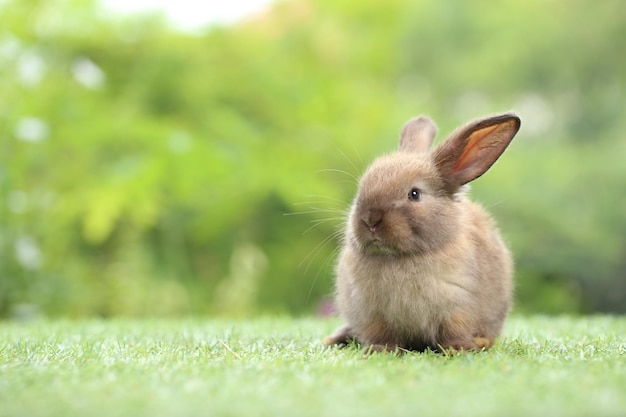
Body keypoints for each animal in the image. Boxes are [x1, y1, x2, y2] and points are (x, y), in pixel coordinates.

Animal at [324, 113, 520, 352]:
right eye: (360, 190)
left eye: (415, 194)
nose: (370, 220)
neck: (401, 258)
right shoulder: (372, 316)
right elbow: (382, 335)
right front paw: (379, 350)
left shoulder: (458, 308)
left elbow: (454, 331)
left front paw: (458, 349)